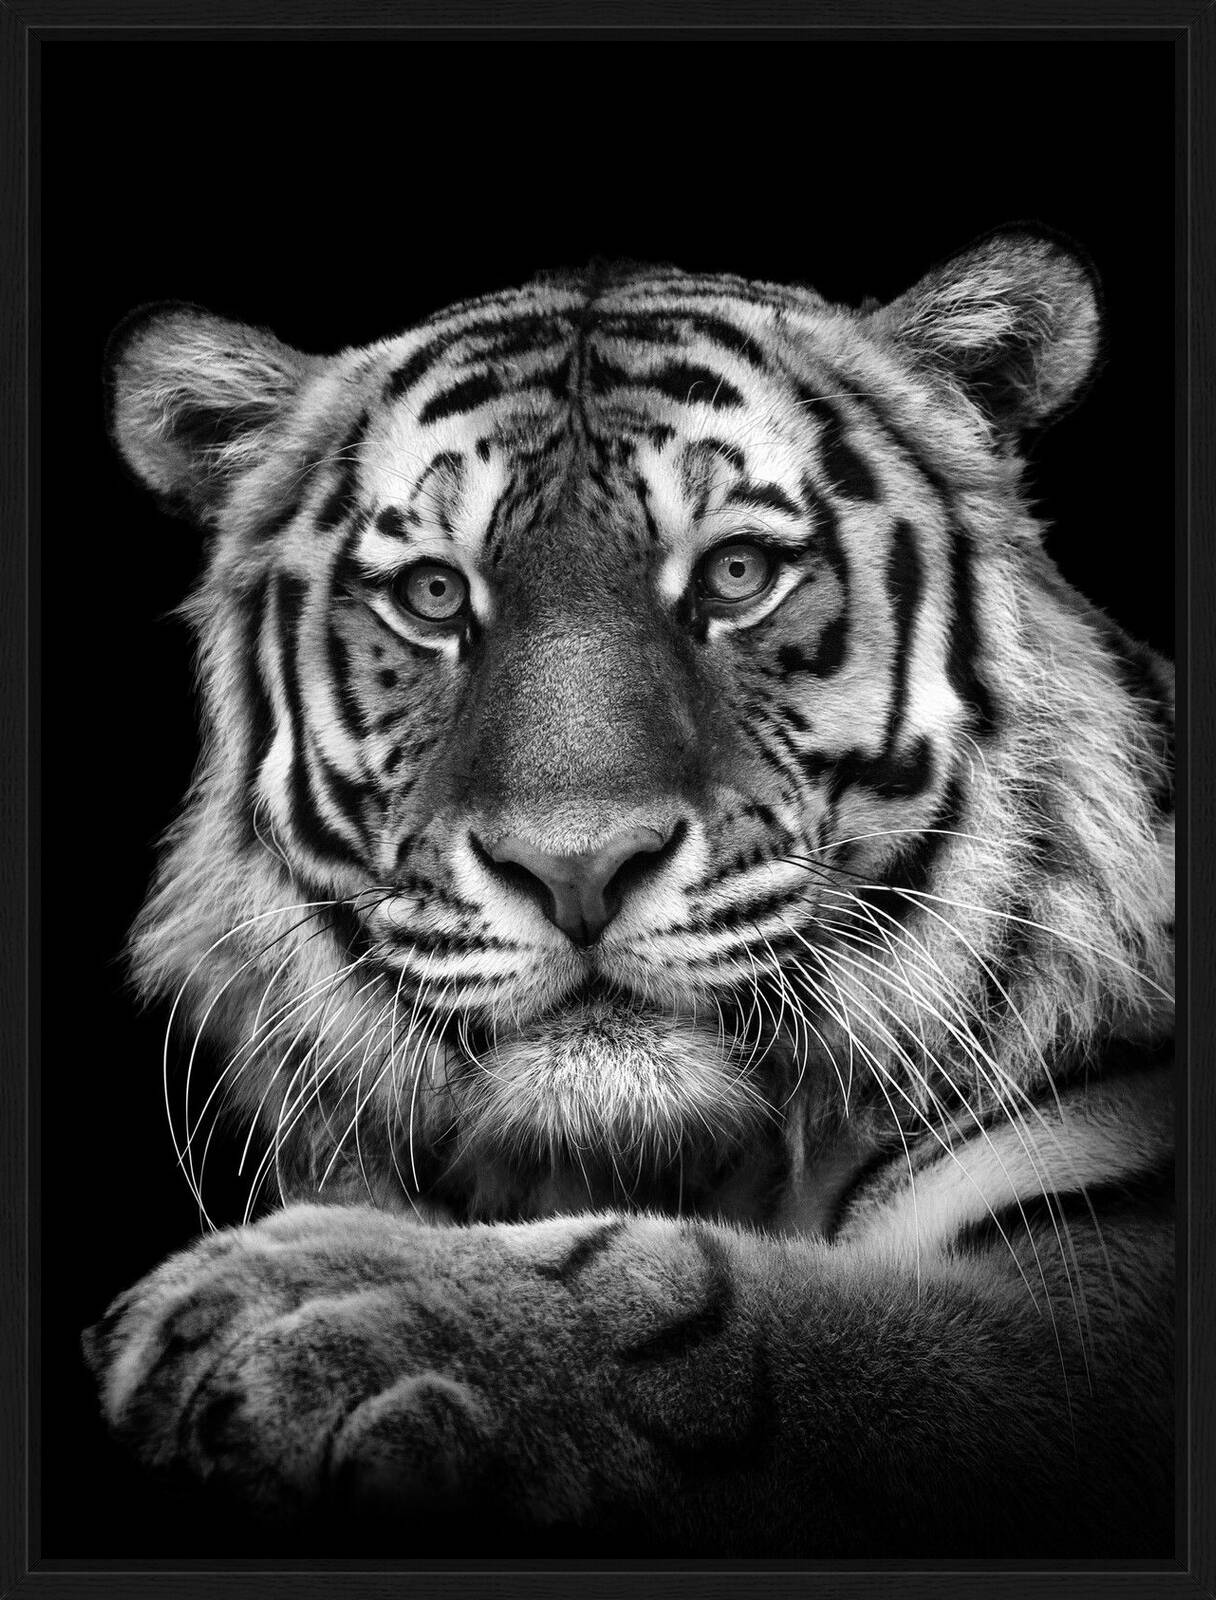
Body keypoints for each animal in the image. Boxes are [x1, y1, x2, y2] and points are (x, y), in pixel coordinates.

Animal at [84, 231, 1175, 1558]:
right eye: (434, 596)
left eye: (737, 574)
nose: (576, 865)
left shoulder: (1092, 1300)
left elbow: (719, 1316)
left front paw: (306, 1303)